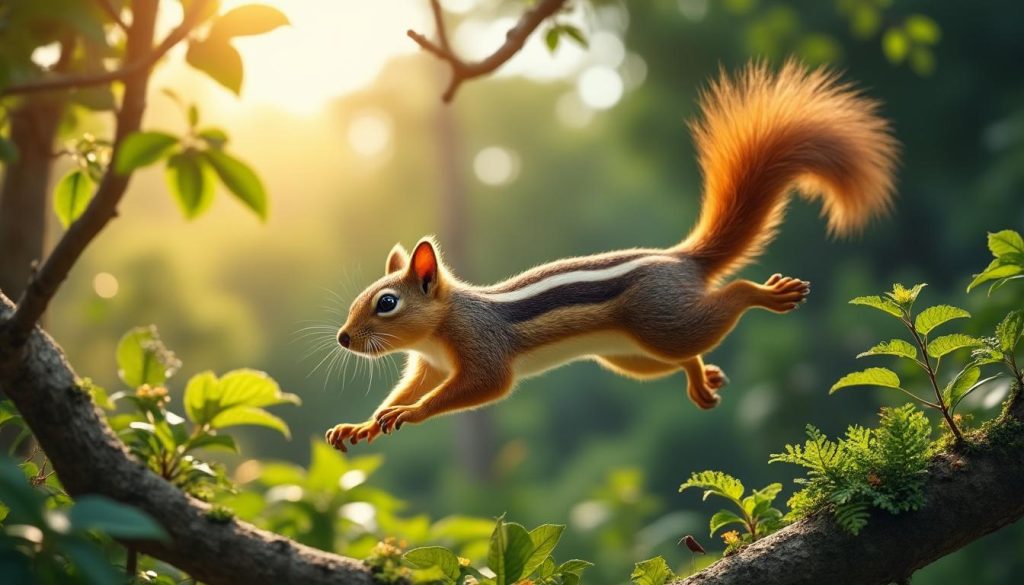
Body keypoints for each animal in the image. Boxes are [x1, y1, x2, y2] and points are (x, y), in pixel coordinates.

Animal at [325, 61, 898, 451]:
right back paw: (700, 378)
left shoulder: (481, 349)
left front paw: (411, 415)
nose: (344, 338)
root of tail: (682, 261)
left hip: (663, 321)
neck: (441, 325)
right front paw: (364, 423)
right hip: (632, 356)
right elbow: (402, 390)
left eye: (386, 304)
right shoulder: (426, 364)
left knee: (727, 299)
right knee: (683, 356)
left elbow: (479, 386)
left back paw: (766, 293)